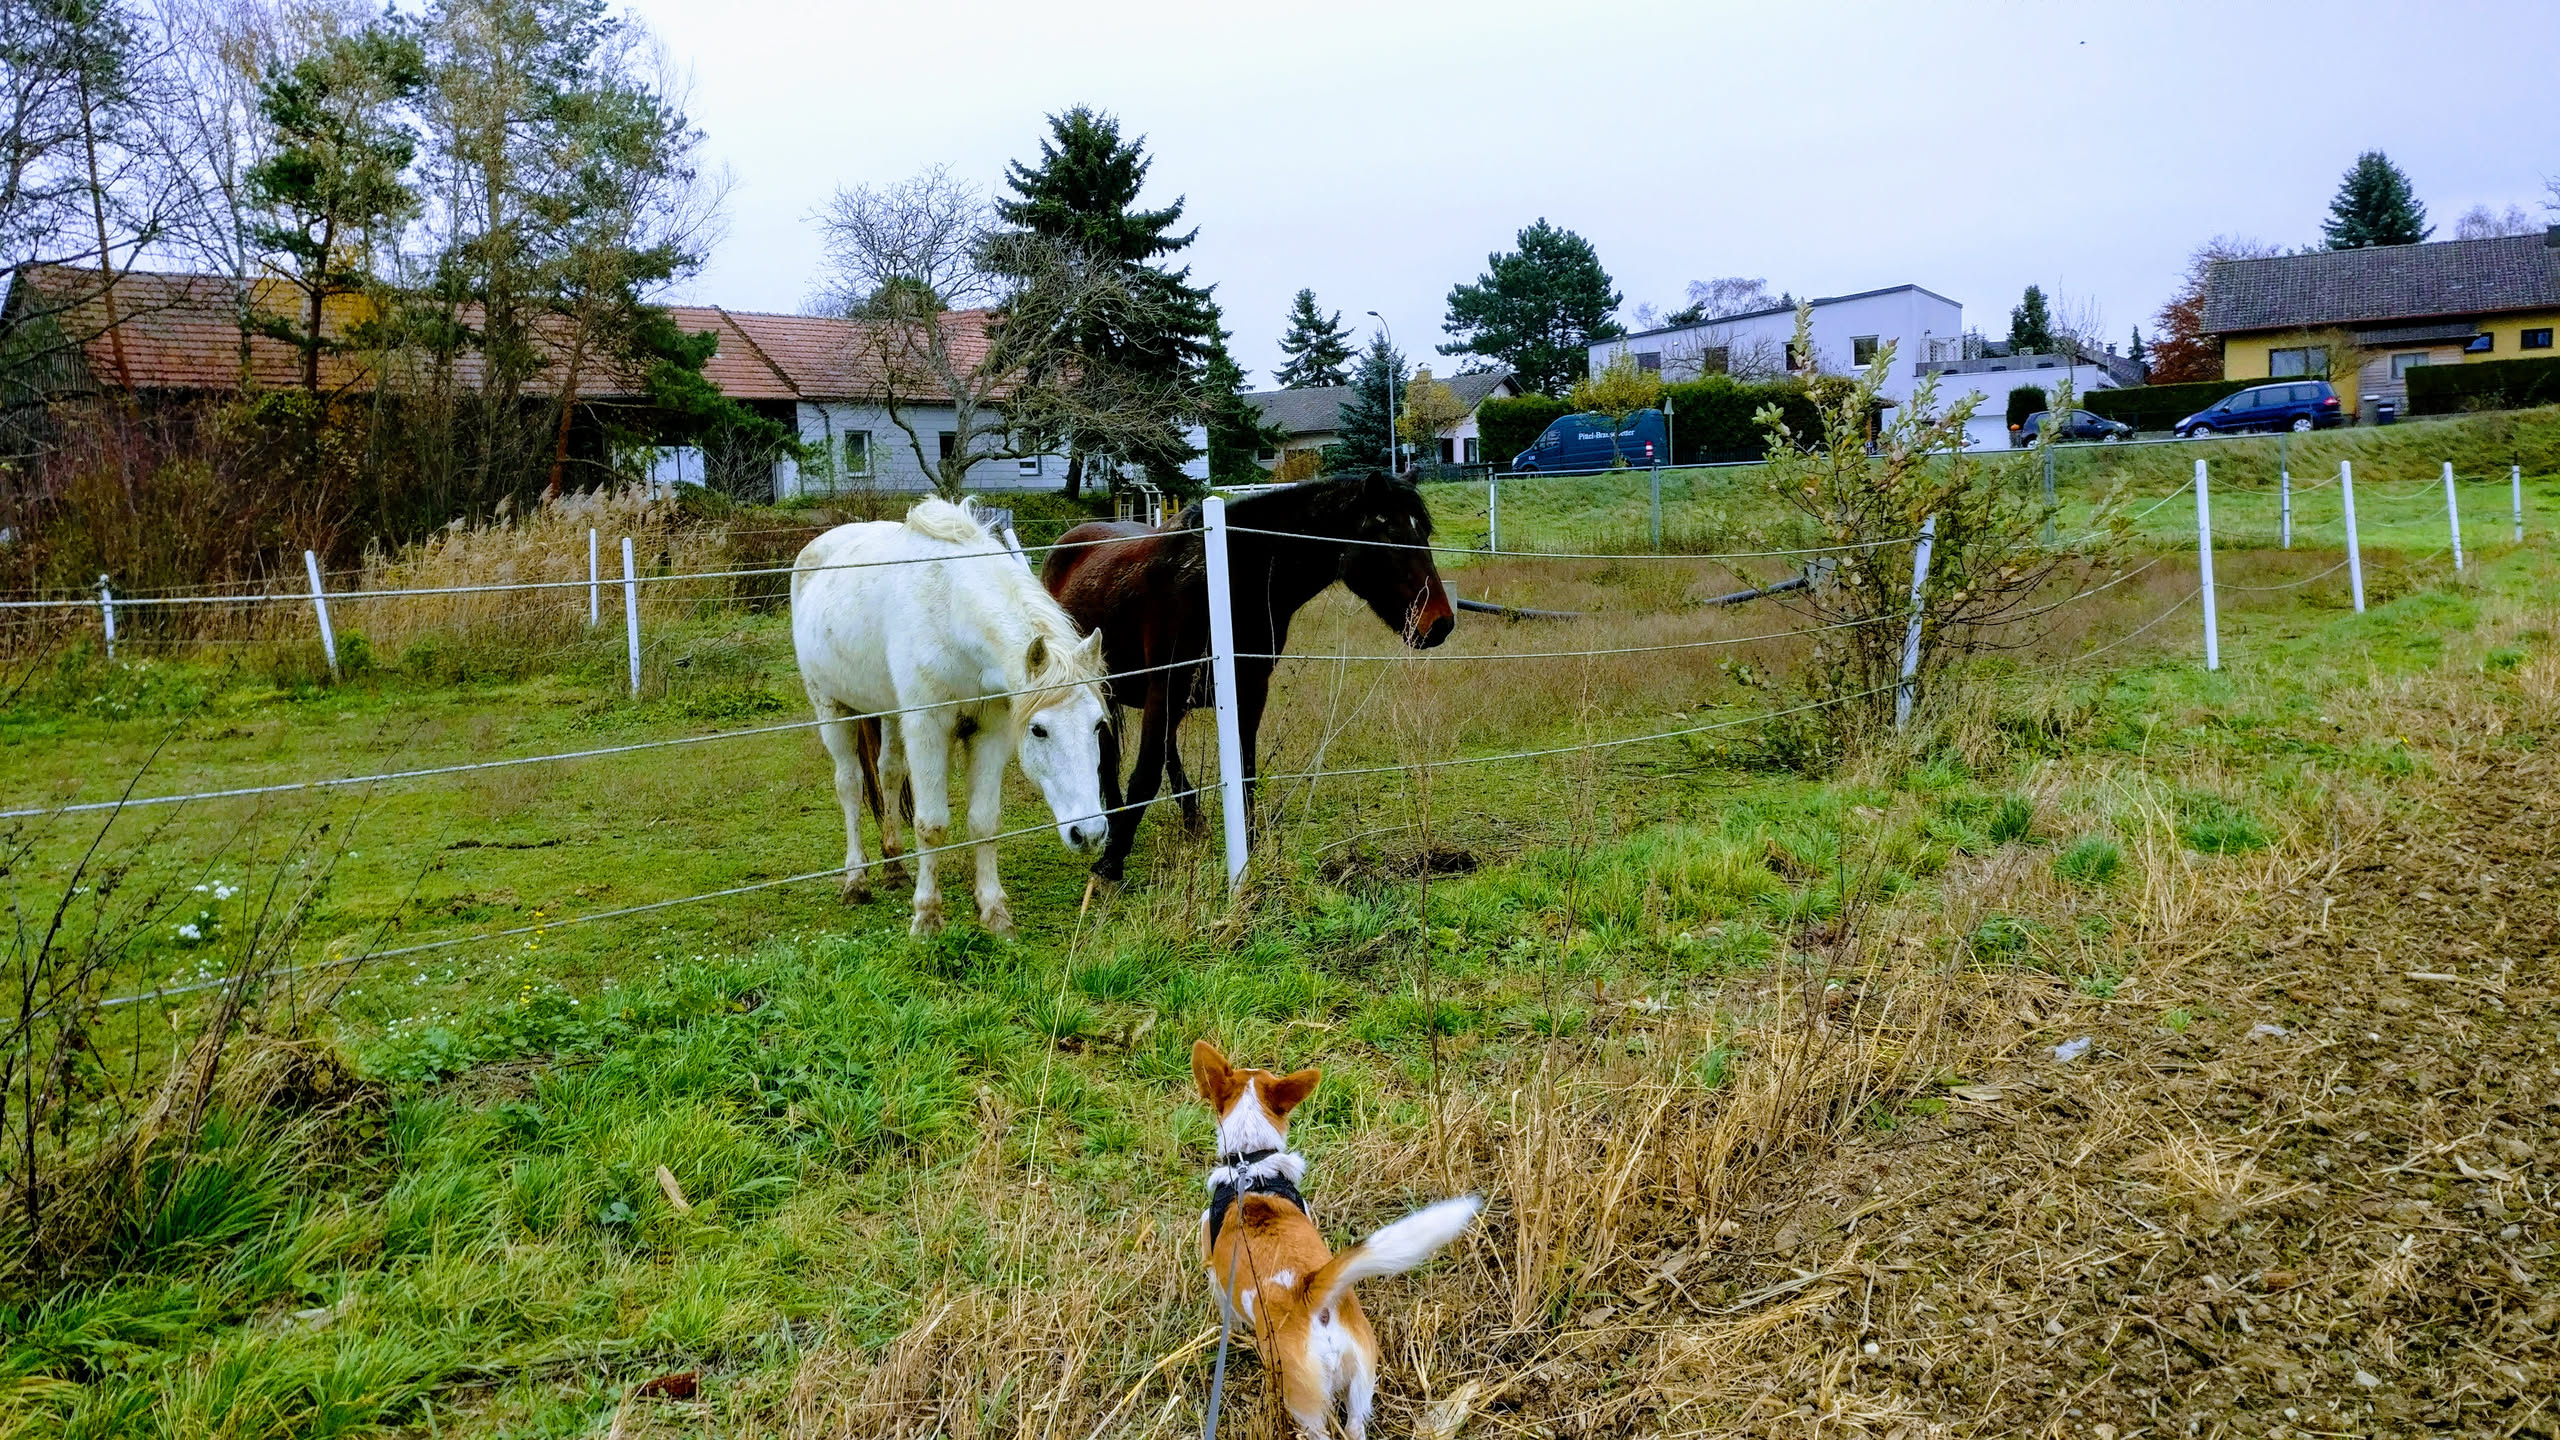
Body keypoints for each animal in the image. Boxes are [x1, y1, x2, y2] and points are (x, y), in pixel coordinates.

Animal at [792, 498, 1111, 937]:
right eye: (1039, 730)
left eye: (1097, 725)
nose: (1090, 833)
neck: (951, 610)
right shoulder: (927, 728)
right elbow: (932, 825)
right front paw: (927, 917)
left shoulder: (990, 731)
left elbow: (984, 822)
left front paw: (995, 913)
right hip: (832, 709)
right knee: (850, 786)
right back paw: (856, 881)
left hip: (889, 713)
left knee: (889, 773)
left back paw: (894, 868)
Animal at [1040, 471, 1455, 885]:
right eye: (1392, 536)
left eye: (1423, 532)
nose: (1440, 624)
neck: (1222, 581)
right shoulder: (1166, 688)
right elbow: (1144, 777)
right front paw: (1112, 862)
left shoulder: (1249, 691)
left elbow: (1244, 772)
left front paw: (1250, 848)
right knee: (1109, 755)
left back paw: (1189, 817)